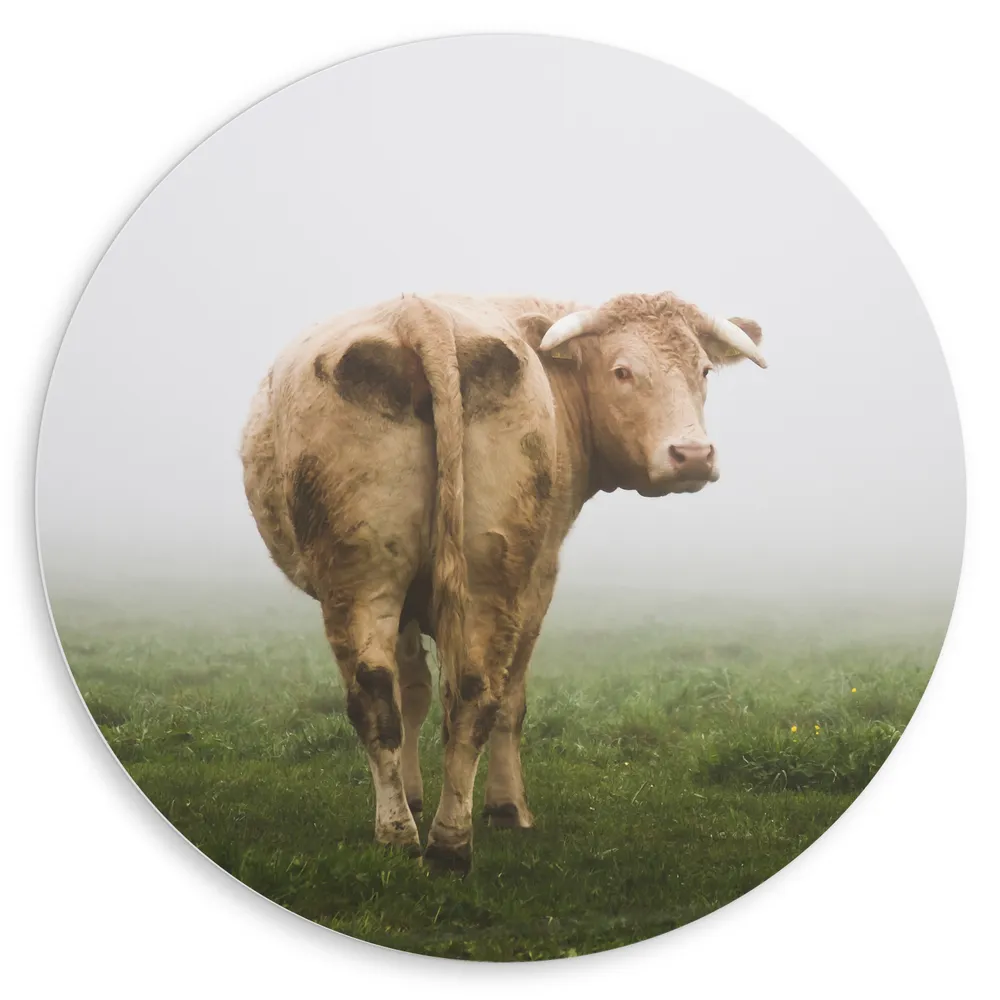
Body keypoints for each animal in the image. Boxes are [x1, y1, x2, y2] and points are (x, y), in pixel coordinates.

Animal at [241, 292, 765, 873]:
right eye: (623, 371)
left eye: (704, 370)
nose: (692, 456)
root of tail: (418, 315)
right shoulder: (538, 574)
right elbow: (469, 696)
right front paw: (494, 806)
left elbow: (425, 693)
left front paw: (438, 798)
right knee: (457, 694)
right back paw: (430, 835)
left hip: (381, 572)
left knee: (409, 693)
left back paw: (424, 836)